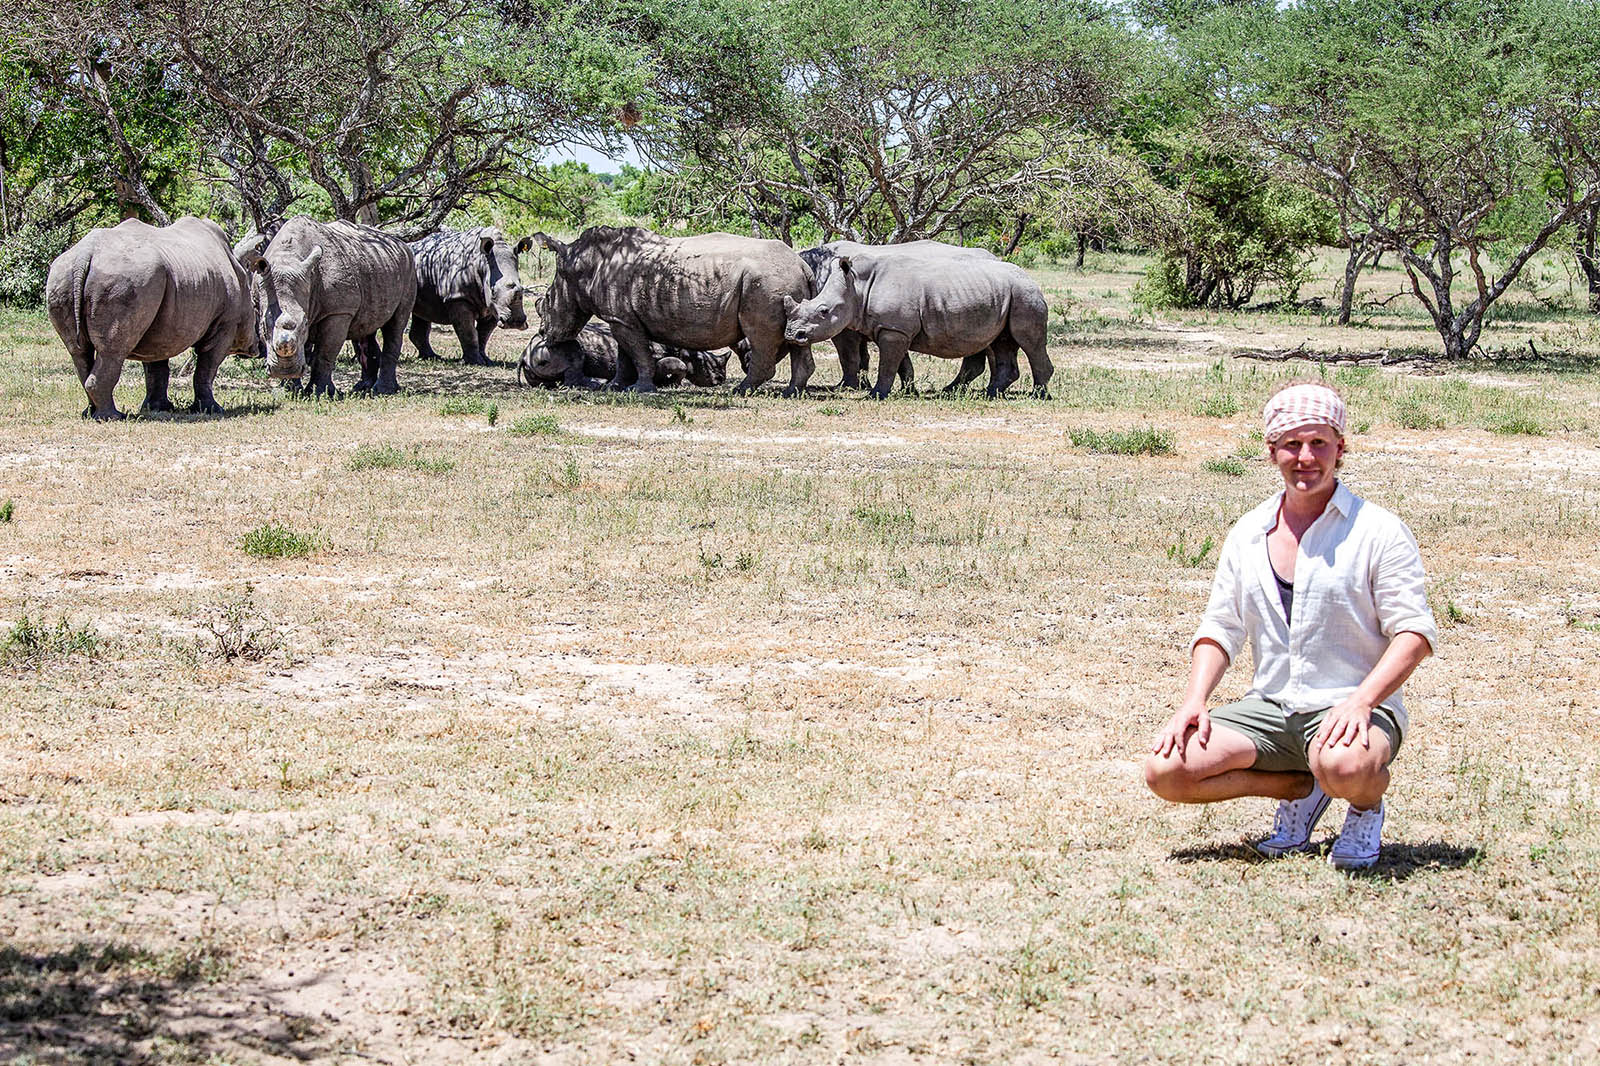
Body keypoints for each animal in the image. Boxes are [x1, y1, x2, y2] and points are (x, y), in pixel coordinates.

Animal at [43, 214, 260, 416]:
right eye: (255, 310)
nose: (258, 348)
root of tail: (86, 253)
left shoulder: (158, 327)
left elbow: (156, 367)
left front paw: (158, 408)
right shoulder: (225, 324)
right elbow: (206, 368)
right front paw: (212, 410)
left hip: (63, 276)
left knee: (78, 351)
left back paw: (90, 413)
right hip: (125, 280)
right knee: (112, 352)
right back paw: (112, 417)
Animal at [233, 214, 419, 393]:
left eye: (305, 324)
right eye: (263, 326)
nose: (284, 370)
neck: (287, 258)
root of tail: (402, 244)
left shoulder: (339, 311)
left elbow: (324, 352)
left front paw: (320, 393)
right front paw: (289, 390)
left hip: (409, 269)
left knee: (395, 325)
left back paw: (383, 390)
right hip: (377, 266)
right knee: (366, 327)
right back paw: (363, 388)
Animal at [406, 227, 531, 364]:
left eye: (522, 288)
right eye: (492, 291)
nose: (515, 322)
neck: (482, 263)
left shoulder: (493, 306)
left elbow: (483, 334)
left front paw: (486, 360)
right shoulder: (458, 297)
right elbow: (469, 332)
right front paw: (475, 362)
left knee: (423, 314)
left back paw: (432, 357)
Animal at [518, 323, 732, 393]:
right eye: (704, 364)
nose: (720, 380)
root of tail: (525, 353)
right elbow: (677, 365)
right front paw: (670, 384)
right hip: (551, 346)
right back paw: (596, 384)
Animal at [784, 251, 1049, 400]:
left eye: (823, 311)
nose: (792, 334)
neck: (857, 286)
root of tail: (1031, 278)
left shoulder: (894, 329)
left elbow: (888, 365)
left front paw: (876, 395)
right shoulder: (894, 328)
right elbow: (902, 365)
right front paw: (909, 392)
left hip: (1025, 294)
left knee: (1029, 343)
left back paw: (1038, 396)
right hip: (1007, 295)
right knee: (1002, 342)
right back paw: (989, 394)